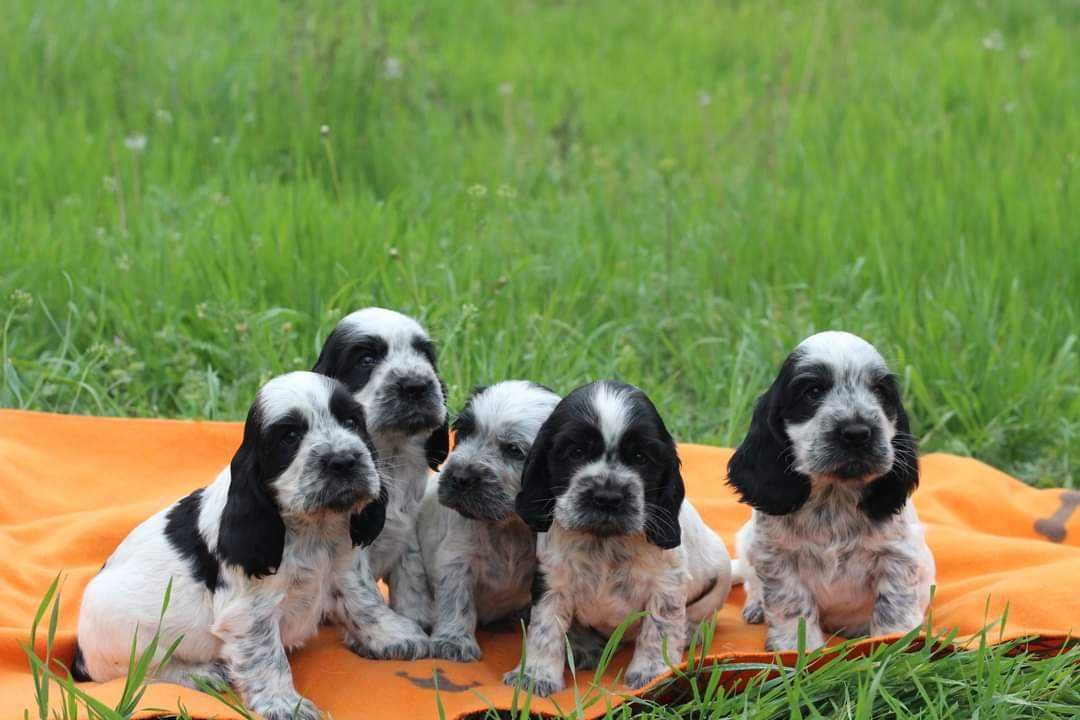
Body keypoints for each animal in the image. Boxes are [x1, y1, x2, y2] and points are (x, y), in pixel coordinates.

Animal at [71, 375, 386, 716]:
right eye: (289, 437)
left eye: (352, 422)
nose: (344, 460)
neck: (312, 527)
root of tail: (80, 655)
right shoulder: (249, 615)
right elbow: (268, 658)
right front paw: (285, 705)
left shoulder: (343, 567)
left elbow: (363, 601)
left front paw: (395, 636)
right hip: (131, 637)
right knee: (143, 674)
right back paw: (201, 673)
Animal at [313, 306, 447, 660]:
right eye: (366, 359)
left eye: (424, 356)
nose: (416, 385)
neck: (390, 453)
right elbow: (363, 593)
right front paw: (387, 638)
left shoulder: (408, 533)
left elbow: (411, 580)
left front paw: (417, 620)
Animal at [412, 379, 561, 660]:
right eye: (464, 433)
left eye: (514, 450)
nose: (459, 477)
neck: (509, 527)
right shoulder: (456, 560)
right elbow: (456, 601)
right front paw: (453, 641)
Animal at [501, 379, 730, 695]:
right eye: (576, 452)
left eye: (640, 457)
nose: (607, 497)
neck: (604, 541)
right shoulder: (553, 582)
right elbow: (545, 630)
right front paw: (536, 676)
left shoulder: (666, 585)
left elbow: (658, 628)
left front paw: (652, 673)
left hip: (722, 573)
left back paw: (690, 632)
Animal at [725, 332, 937, 651]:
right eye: (812, 391)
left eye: (880, 391)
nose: (857, 433)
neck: (834, 496)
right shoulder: (777, 558)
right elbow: (793, 606)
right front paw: (798, 650)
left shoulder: (898, 557)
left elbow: (893, 607)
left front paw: (893, 646)